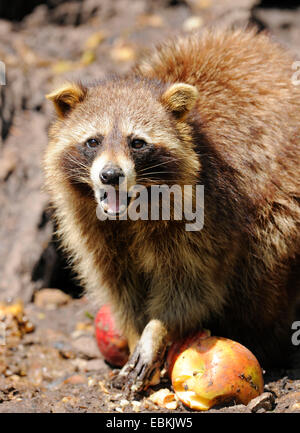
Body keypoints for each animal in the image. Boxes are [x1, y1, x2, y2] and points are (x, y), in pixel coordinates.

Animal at [43, 27, 298, 392]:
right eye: (93, 141)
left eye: (137, 143)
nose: (110, 175)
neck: (131, 213)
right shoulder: (93, 229)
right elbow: (122, 288)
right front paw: (136, 334)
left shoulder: (210, 211)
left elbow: (192, 284)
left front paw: (157, 331)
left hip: (281, 194)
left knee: (266, 256)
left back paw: (263, 339)